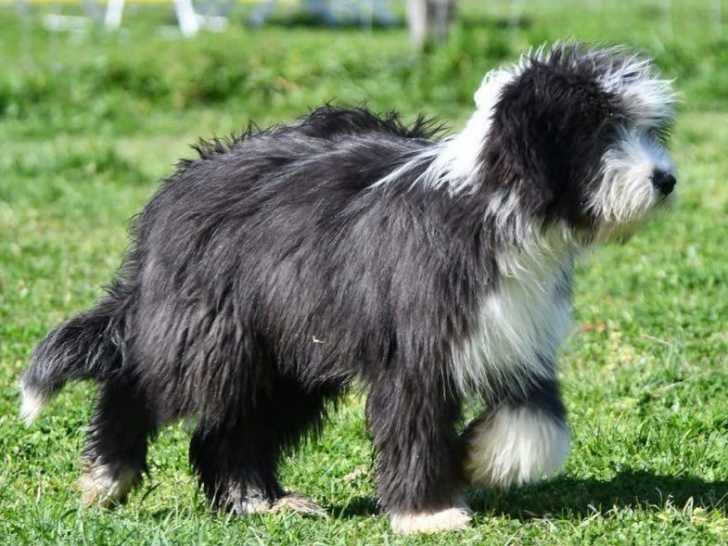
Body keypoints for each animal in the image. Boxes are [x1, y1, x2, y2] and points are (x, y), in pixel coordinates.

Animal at [20, 43, 676, 534]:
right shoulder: (415, 350)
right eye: (599, 130)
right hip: (210, 327)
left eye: (645, 128)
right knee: (140, 380)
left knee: (232, 427)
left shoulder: (515, 335)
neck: (497, 208)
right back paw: (109, 476)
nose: (666, 179)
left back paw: (258, 501)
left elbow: (538, 428)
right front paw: (428, 512)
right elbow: (413, 423)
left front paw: (472, 458)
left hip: (287, 350)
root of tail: (179, 185)